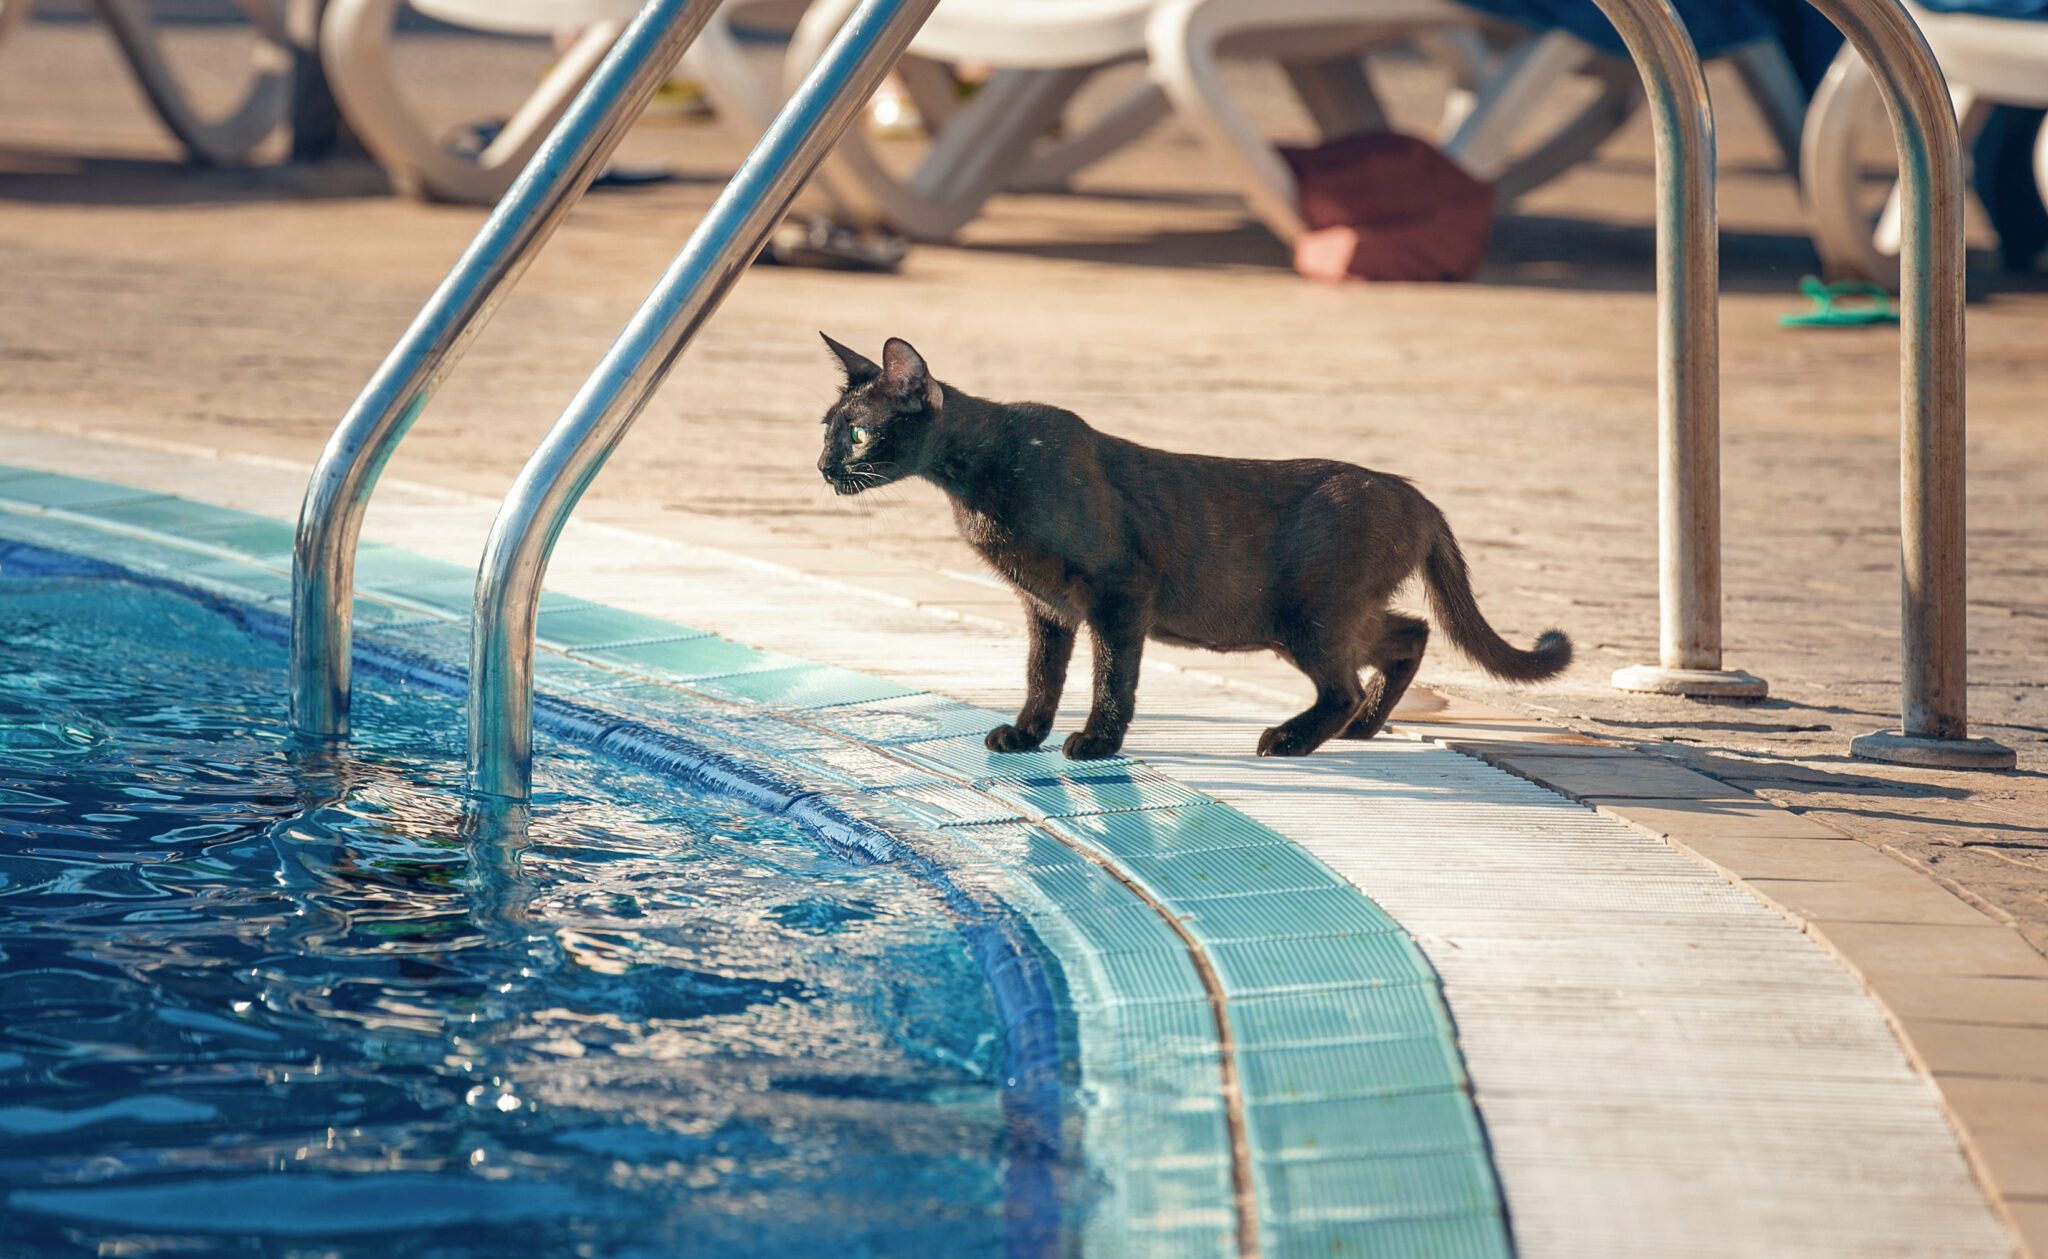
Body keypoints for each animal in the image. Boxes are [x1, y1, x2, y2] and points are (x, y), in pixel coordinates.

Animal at [815, 331, 1564, 757]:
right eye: (825, 430)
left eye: (857, 434)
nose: (822, 466)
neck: (980, 478)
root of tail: (1415, 493)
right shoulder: (1047, 607)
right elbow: (1041, 677)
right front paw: (1026, 736)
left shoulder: (1119, 595)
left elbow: (1111, 678)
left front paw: (1097, 743)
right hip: (1323, 617)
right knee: (1408, 635)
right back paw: (1362, 729)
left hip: (1309, 619)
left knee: (1347, 683)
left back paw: (1292, 739)